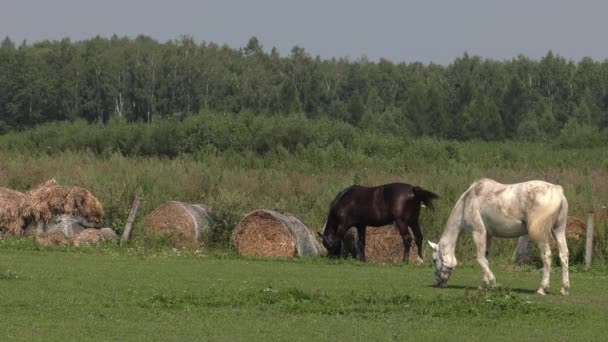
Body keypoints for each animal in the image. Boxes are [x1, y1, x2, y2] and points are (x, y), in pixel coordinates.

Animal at [428, 178, 568, 296]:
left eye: (434, 260)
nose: (437, 282)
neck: (467, 202)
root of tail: (558, 191)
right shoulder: (489, 236)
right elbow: (486, 259)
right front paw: (483, 285)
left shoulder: (478, 232)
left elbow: (480, 259)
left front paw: (493, 282)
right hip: (559, 230)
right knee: (564, 255)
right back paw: (564, 289)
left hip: (539, 234)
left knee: (547, 256)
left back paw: (542, 288)